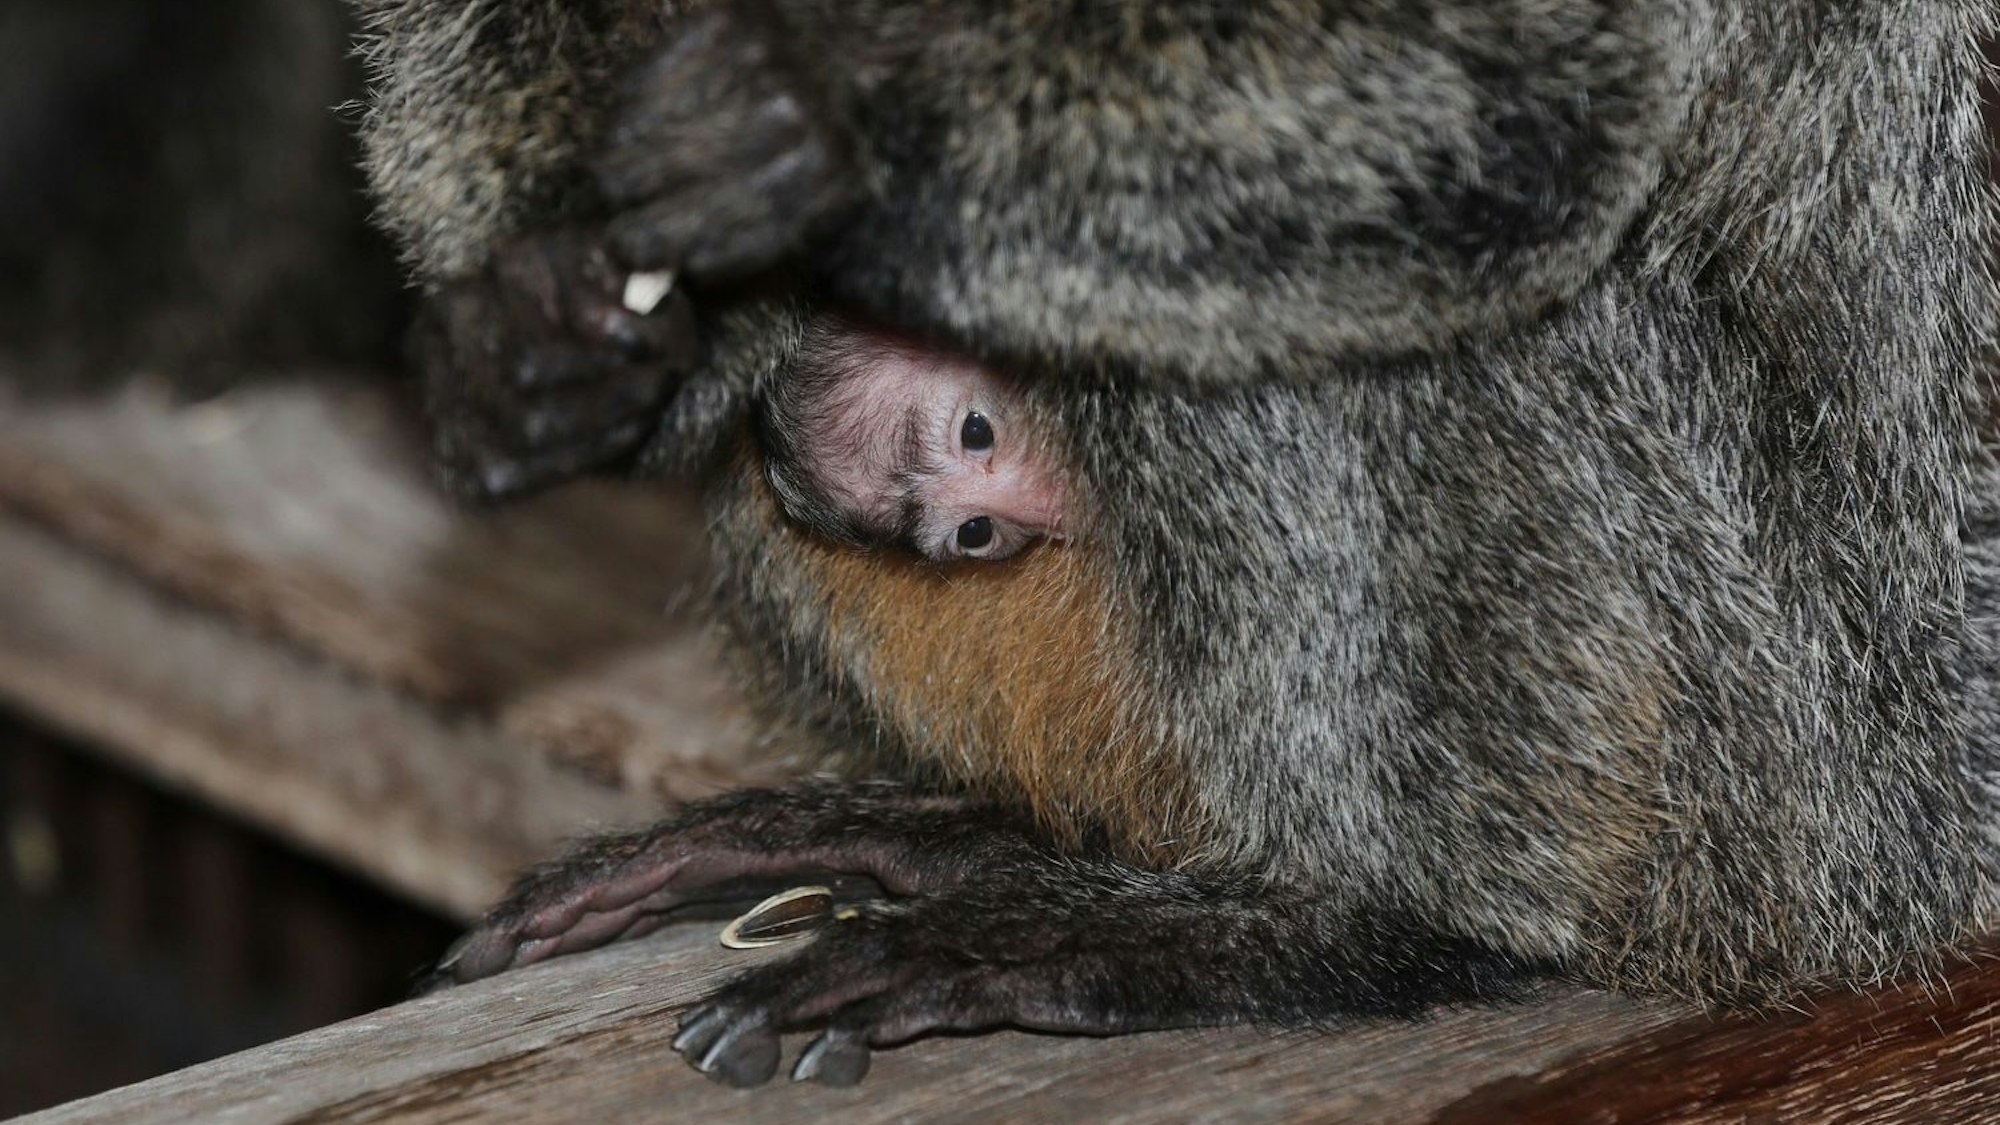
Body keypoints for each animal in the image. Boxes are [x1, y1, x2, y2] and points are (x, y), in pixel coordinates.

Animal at [352, 0, 2000, 1089]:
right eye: (963, 491)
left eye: (978, 447)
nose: (1003, 514)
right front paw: (548, 331)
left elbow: (1526, 87)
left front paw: (840, 135)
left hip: (1816, 757)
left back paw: (1356, 927)